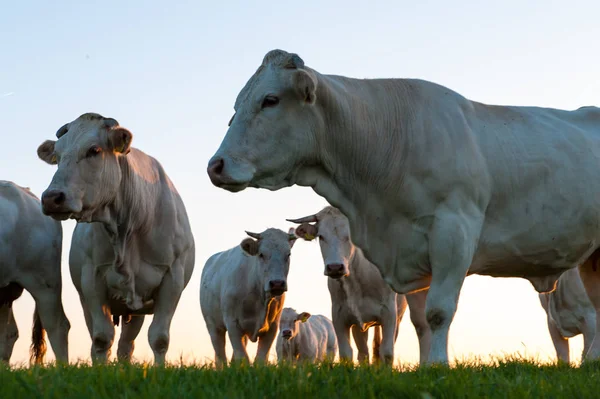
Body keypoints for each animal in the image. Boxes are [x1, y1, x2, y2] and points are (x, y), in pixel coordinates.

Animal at [36, 112, 195, 366]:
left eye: (94, 150)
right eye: (57, 156)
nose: (52, 198)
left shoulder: (173, 278)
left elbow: (159, 338)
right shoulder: (92, 280)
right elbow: (101, 338)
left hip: (137, 310)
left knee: (126, 346)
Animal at [202, 228, 300, 366]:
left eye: (288, 254)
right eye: (261, 254)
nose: (277, 283)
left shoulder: (272, 327)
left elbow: (261, 358)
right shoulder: (232, 323)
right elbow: (242, 357)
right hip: (213, 325)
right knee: (220, 353)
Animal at [290, 208, 432, 368]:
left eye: (350, 236)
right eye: (321, 236)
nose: (335, 267)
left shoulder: (389, 314)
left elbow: (387, 352)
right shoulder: (340, 316)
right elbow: (347, 354)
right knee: (363, 351)